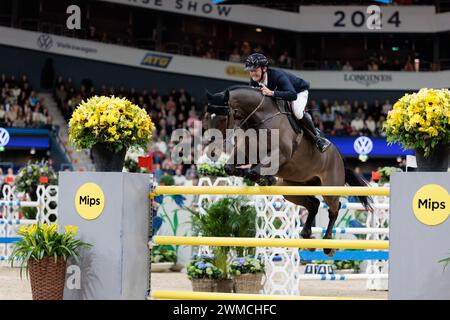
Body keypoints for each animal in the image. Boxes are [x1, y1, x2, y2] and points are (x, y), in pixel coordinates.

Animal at [204, 85, 372, 255]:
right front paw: (262, 177)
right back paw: (306, 234)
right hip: (292, 187)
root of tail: (339, 159)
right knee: (314, 203)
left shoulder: (281, 154)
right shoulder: (246, 153)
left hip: (329, 188)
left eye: (223, 117)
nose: (211, 149)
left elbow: (255, 171)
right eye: (207, 117)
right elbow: (231, 168)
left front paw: (265, 178)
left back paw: (327, 244)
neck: (261, 118)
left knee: (334, 209)